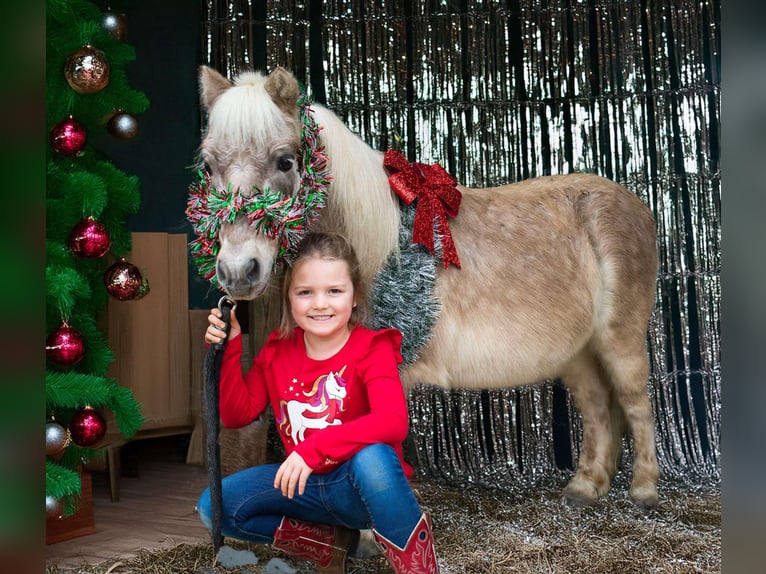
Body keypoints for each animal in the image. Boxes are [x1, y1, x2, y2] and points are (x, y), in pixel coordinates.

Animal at [190, 65, 660, 510]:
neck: (380, 251)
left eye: (286, 161)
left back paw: (644, 491)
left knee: (635, 400)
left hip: (619, 341)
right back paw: (584, 488)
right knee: (598, 405)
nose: (238, 271)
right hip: (578, 351)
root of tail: (634, 204)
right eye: (209, 167)